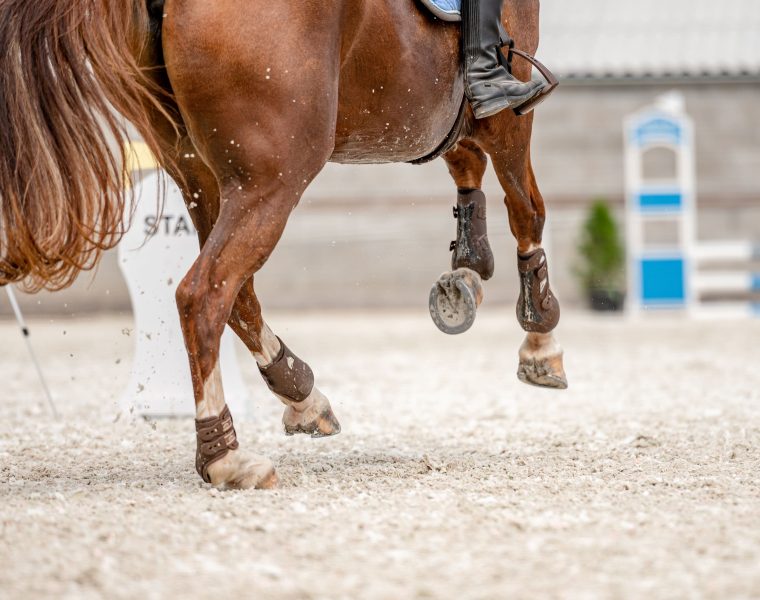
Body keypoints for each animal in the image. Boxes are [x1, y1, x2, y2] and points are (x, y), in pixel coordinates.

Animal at [0, 0, 566, 489]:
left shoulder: (442, 120)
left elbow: (466, 160)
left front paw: (467, 270)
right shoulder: (508, 112)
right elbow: (527, 208)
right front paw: (540, 336)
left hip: (203, 174)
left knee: (235, 294)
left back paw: (300, 393)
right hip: (273, 178)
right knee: (204, 292)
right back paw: (226, 457)